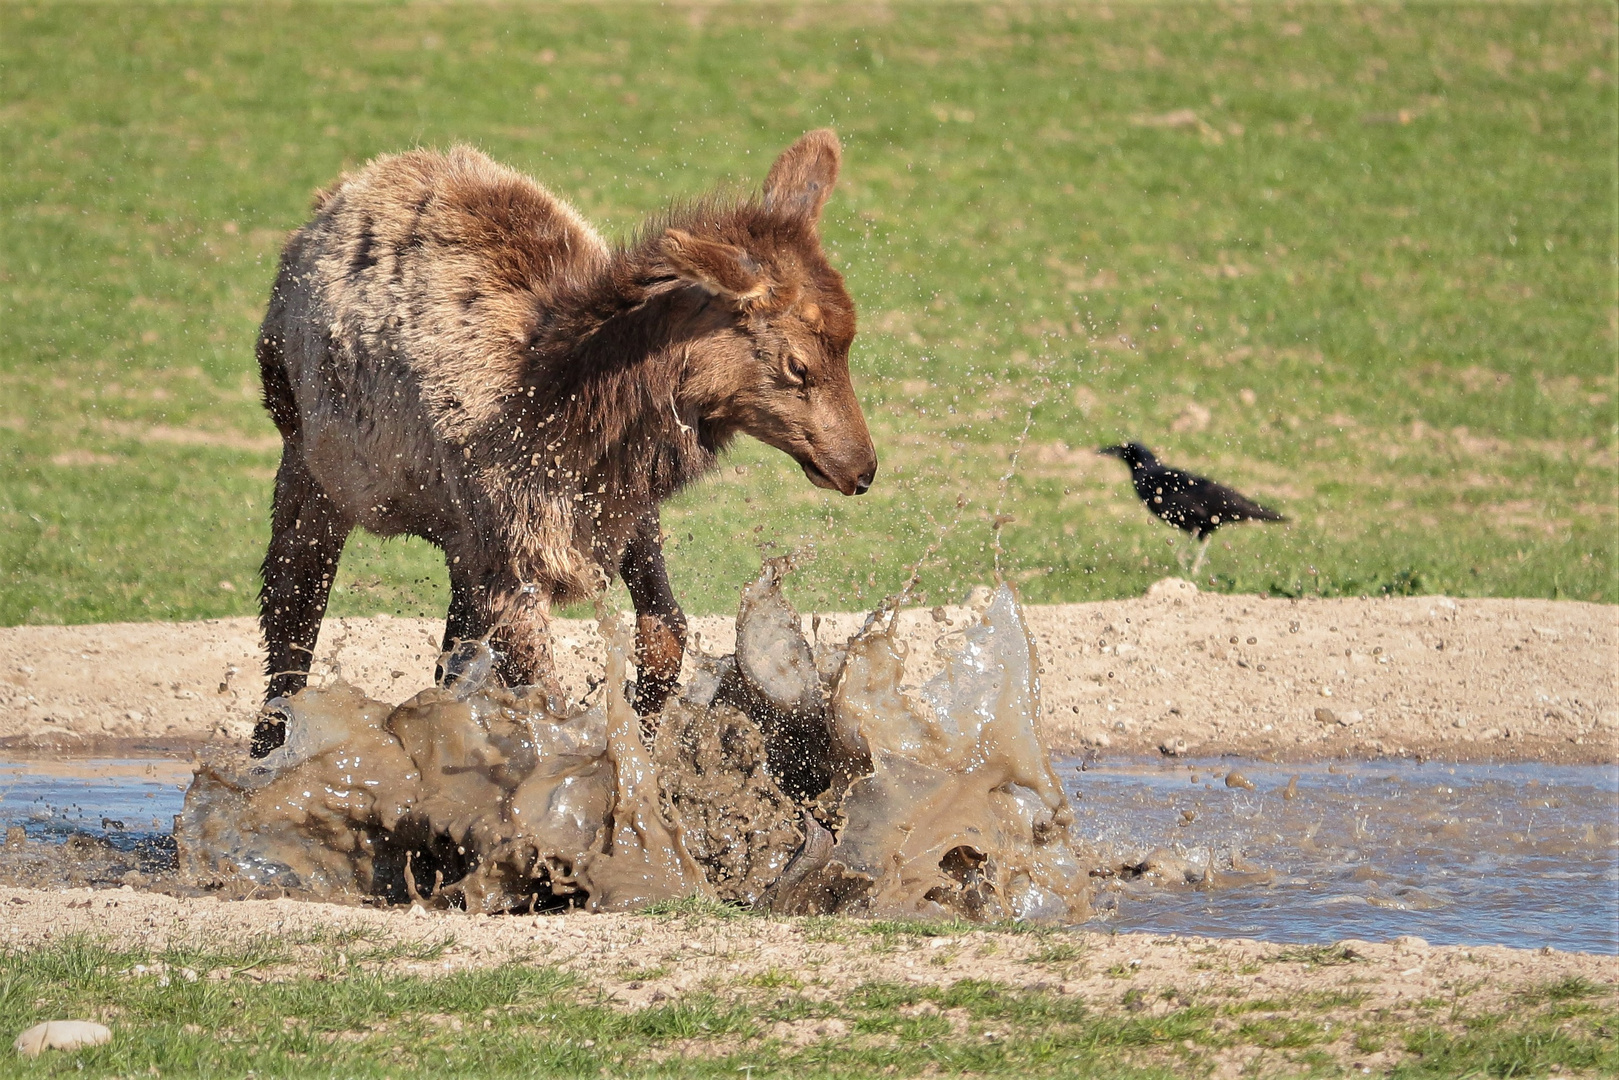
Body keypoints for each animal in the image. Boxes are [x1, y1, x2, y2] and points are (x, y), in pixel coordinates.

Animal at [254, 131, 880, 757]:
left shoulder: (616, 511)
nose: (863, 468)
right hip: (308, 464)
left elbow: (667, 632)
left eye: (850, 342)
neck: (573, 411)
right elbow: (543, 699)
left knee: (448, 655)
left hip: (457, 539)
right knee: (290, 623)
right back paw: (270, 750)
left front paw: (646, 739)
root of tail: (329, 203)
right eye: (798, 364)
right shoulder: (513, 544)